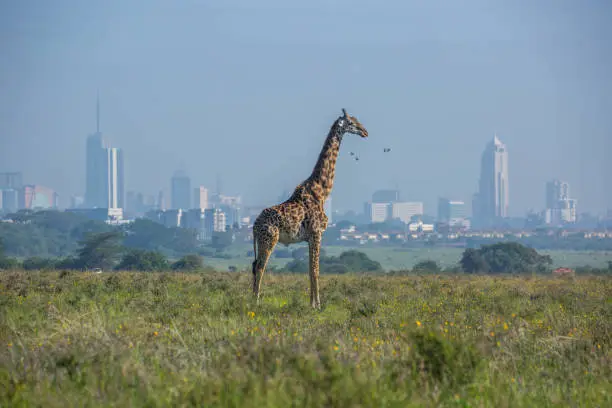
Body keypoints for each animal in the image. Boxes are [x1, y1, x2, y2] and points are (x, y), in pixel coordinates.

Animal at [252, 110, 368, 308]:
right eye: (352, 122)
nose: (365, 132)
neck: (321, 191)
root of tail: (253, 226)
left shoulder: (309, 238)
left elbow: (309, 270)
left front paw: (311, 303)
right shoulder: (317, 233)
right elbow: (316, 271)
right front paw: (317, 305)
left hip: (261, 241)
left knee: (254, 266)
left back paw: (251, 299)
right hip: (269, 239)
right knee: (260, 267)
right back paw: (256, 302)